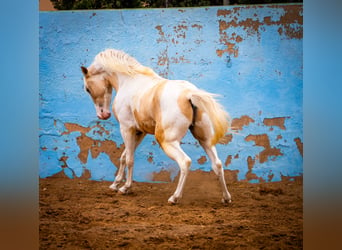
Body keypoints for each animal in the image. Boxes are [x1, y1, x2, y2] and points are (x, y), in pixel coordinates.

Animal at [81, 48, 232, 205]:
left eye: (87, 88)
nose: (102, 115)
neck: (129, 81)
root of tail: (188, 94)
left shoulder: (126, 128)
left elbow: (129, 159)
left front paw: (125, 188)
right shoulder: (139, 132)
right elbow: (124, 156)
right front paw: (115, 185)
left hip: (167, 141)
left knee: (185, 162)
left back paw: (174, 197)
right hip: (205, 140)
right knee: (217, 164)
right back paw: (226, 198)